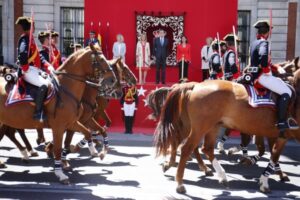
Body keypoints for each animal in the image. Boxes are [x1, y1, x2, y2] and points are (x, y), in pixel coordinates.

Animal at [0, 44, 117, 184]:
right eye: (100, 60)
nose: (113, 80)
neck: (66, 88)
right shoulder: (59, 127)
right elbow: (58, 147)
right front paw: (60, 173)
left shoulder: (73, 122)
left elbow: (89, 133)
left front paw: (99, 152)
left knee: (10, 133)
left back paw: (24, 153)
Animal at [155, 73, 300, 192]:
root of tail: (195, 85)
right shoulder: (281, 135)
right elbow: (271, 155)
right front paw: (264, 180)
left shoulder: (277, 135)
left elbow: (273, 156)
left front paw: (271, 175)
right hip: (200, 127)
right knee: (187, 148)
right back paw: (180, 182)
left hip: (209, 126)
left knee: (203, 148)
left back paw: (219, 174)